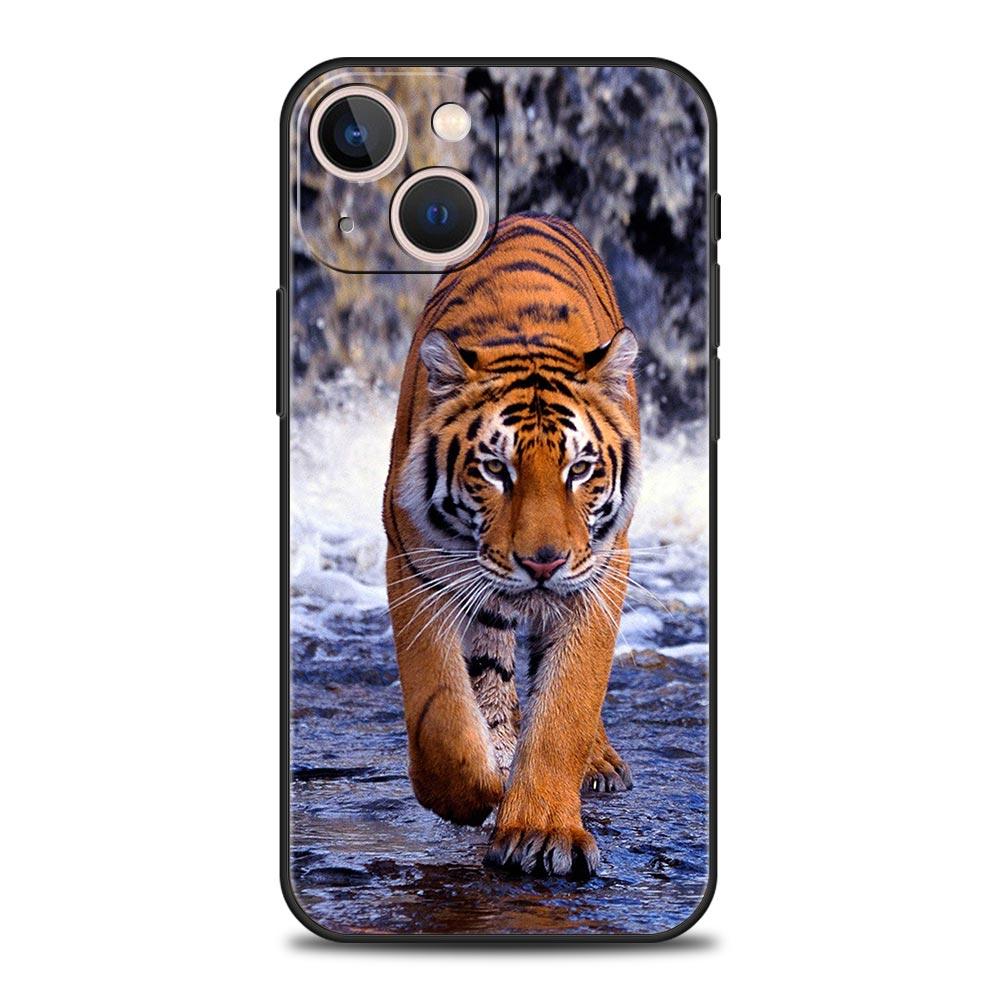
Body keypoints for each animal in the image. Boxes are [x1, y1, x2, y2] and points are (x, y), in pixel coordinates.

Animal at [382, 212, 641, 878]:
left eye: (581, 469)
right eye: (496, 469)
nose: (542, 563)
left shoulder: (600, 571)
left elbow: (567, 703)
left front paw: (541, 831)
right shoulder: (416, 563)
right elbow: (441, 709)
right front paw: (471, 793)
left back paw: (597, 763)